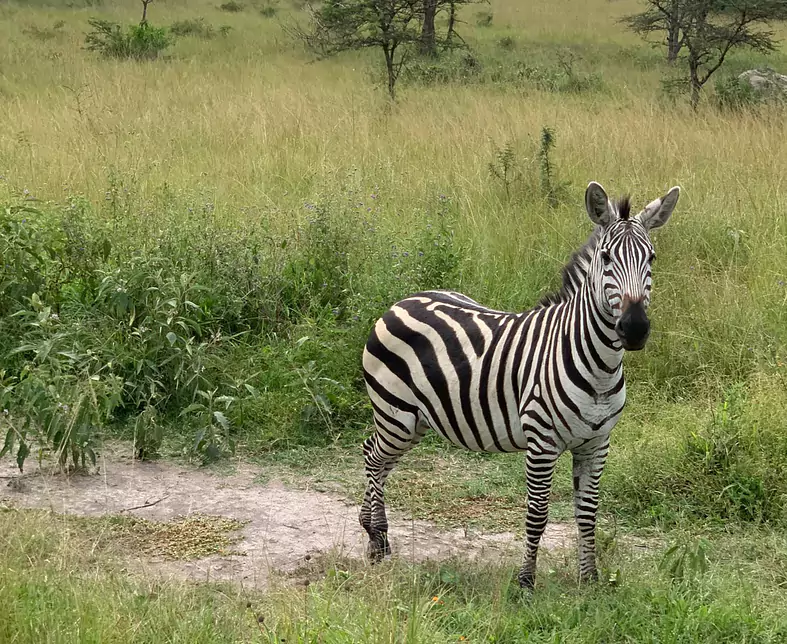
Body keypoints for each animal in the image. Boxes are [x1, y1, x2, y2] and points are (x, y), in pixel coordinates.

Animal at [360, 180, 680, 588]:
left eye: (651, 258)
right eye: (607, 258)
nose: (635, 328)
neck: (600, 368)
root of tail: (402, 301)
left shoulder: (597, 443)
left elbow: (588, 512)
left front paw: (589, 579)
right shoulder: (541, 443)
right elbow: (538, 514)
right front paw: (525, 581)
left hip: (415, 420)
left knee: (376, 456)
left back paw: (370, 526)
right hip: (396, 414)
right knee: (373, 458)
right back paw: (377, 539)